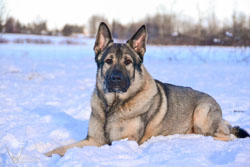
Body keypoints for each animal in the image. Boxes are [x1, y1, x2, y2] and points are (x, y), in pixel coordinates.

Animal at [45, 22, 250, 157]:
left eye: (127, 62)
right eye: (109, 61)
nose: (116, 79)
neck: (113, 106)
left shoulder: (123, 142)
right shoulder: (93, 140)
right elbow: (63, 148)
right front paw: (47, 155)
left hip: (201, 113)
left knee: (224, 136)